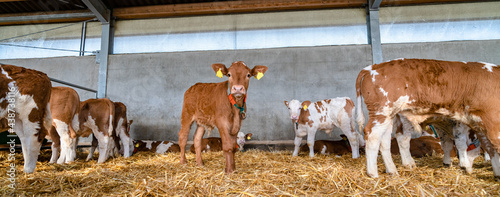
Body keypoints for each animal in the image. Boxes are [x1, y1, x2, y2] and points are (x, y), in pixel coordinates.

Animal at [356, 58, 500, 179]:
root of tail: (372, 67)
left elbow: (489, 147)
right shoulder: (490, 122)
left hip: (388, 116)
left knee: (385, 141)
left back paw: (392, 170)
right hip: (381, 112)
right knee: (374, 136)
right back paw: (373, 173)